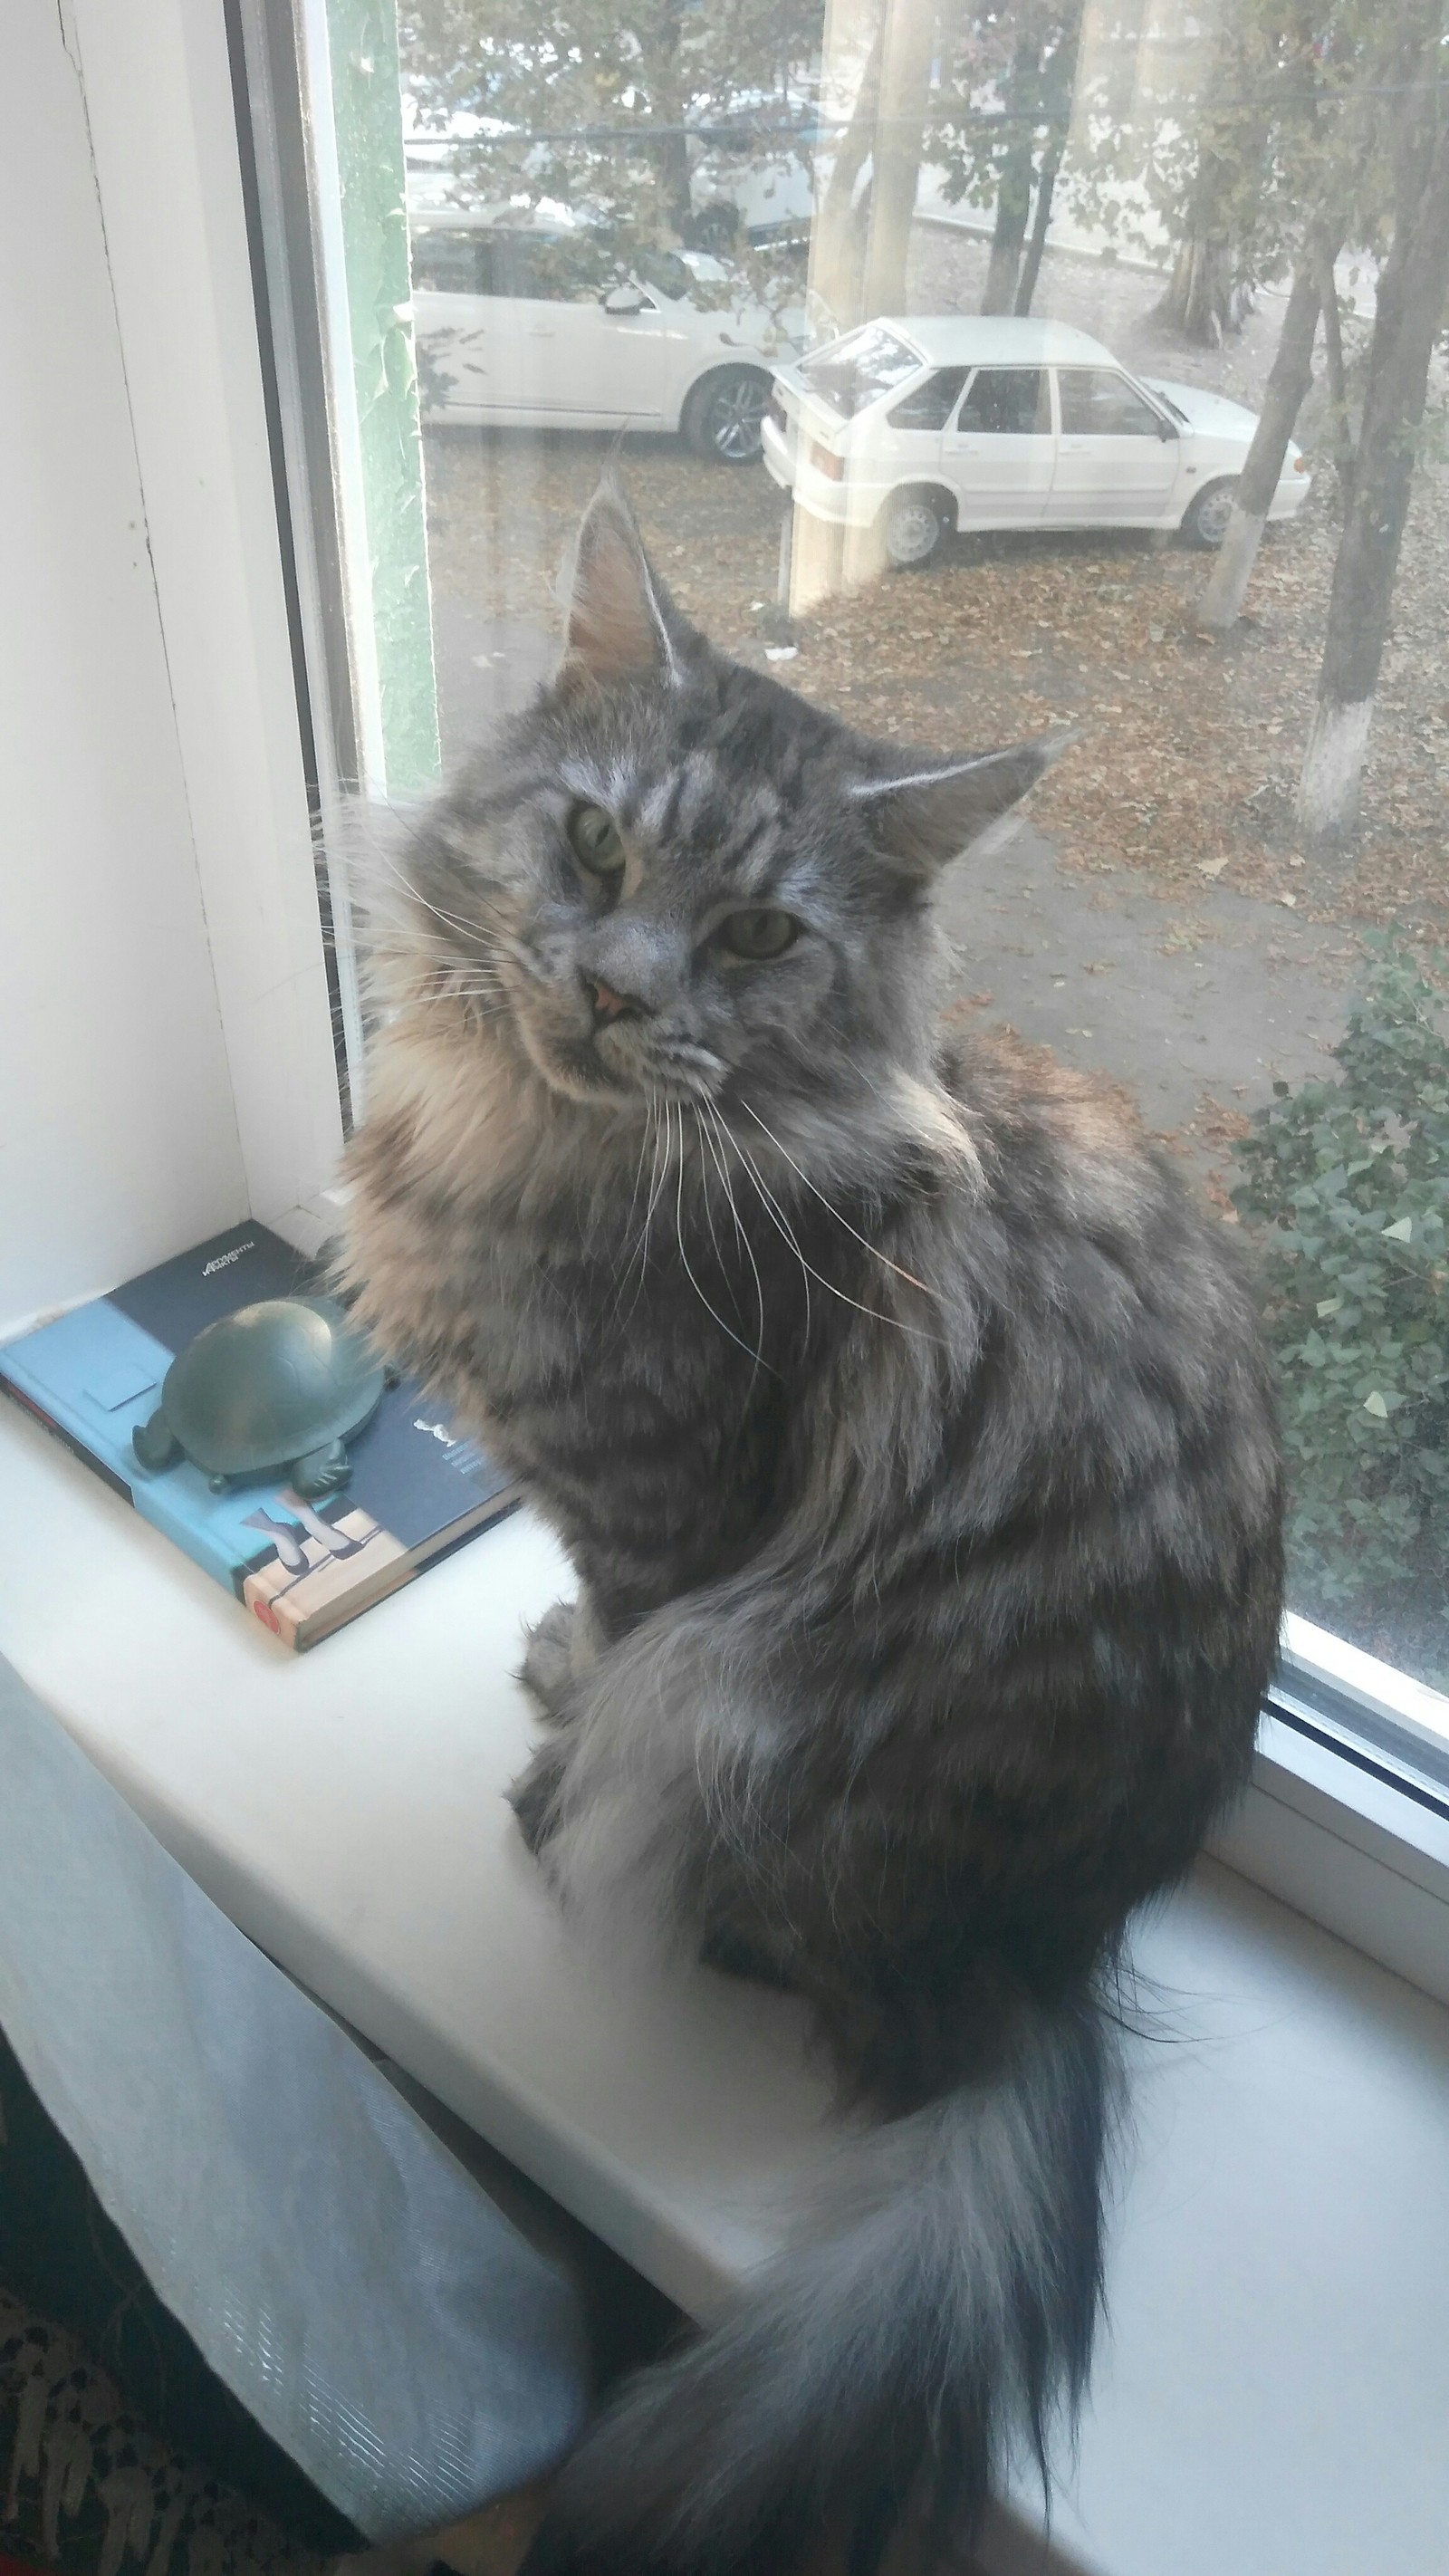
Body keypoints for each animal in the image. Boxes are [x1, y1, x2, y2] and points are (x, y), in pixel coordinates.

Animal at [340, 484, 1281, 2576]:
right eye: (594, 845)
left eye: (759, 932)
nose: (619, 990)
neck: (541, 1136)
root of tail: (1051, 1964)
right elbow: (575, 1639)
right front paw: (544, 1674)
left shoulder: (667, 1528)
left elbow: (611, 1643)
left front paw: (554, 1757)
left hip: (750, 1692)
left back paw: (601, 1858)